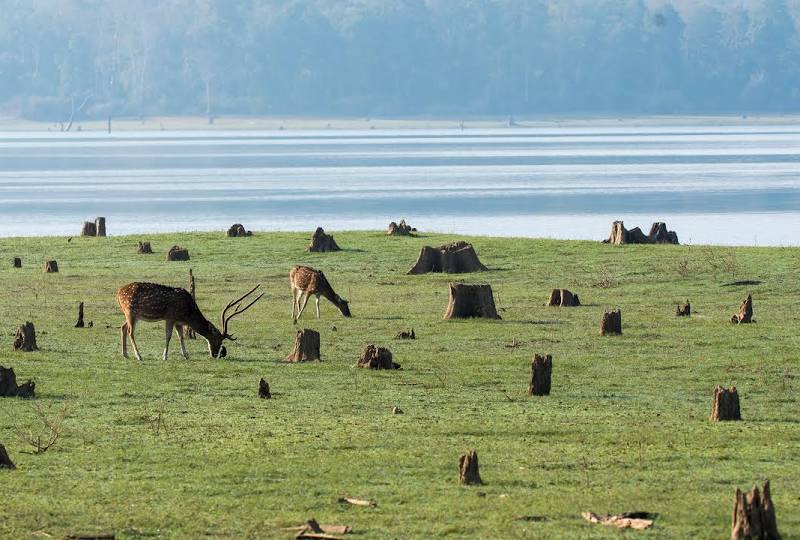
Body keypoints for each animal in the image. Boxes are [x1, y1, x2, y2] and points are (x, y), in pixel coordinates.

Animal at [115, 280, 262, 360]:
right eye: (218, 339)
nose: (217, 354)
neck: (187, 314)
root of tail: (118, 293)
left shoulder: (178, 321)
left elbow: (180, 337)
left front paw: (186, 355)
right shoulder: (170, 316)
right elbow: (168, 336)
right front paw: (165, 356)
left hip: (129, 314)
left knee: (123, 327)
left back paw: (125, 354)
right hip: (130, 311)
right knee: (130, 332)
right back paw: (138, 356)